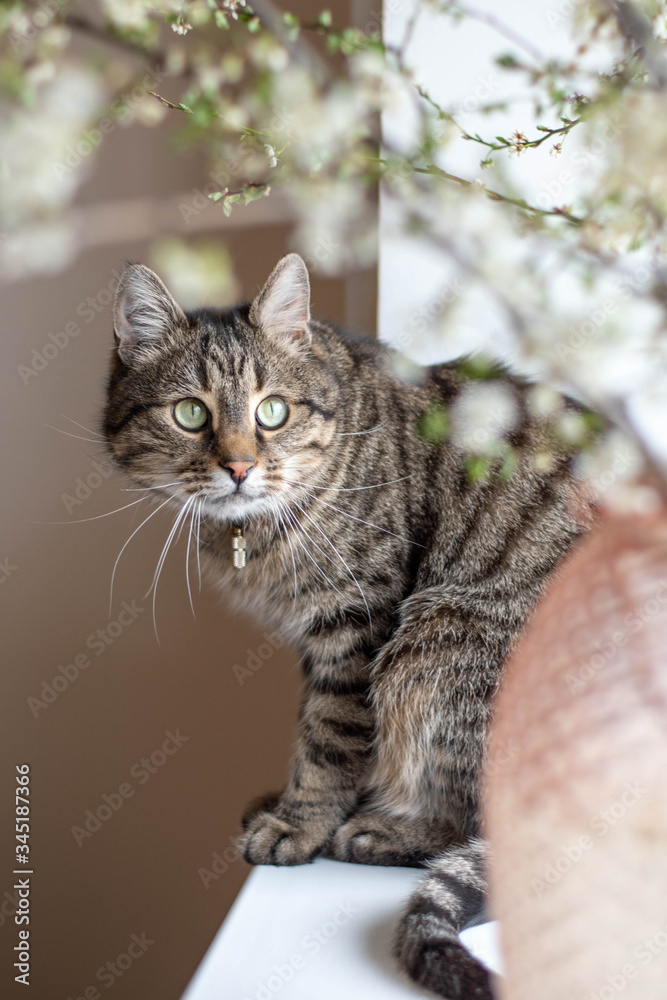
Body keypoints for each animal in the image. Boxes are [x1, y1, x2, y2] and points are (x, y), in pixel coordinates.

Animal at [102, 254, 588, 996]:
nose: (238, 466)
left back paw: (384, 831)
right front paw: (290, 801)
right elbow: (322, 732)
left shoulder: (358, 624)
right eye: (190, 414)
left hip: (435, 643)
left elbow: (329, 737)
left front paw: (300, 824)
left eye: (272, 411)